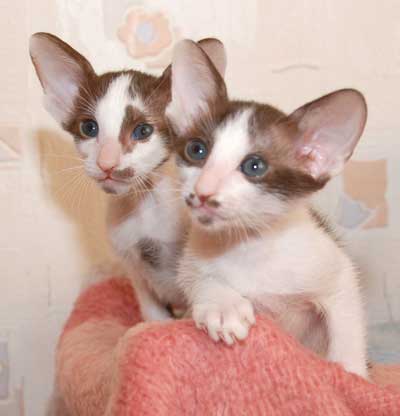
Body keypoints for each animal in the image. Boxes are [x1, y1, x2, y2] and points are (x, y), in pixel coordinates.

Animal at [29, 35, 227, 322]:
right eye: (89, 128)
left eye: (143, 131)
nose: (106, 163)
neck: (145, 207)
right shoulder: (134, 269)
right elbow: (154, 319)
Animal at [166, 40, 368, 378]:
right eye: (197, 150)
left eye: (254, 166)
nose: (203, 192)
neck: (251, 245)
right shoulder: (190, 262)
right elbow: (195, 277)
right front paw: (223, 305)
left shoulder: (337, 272)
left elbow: (346, 322)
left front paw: (352, 374)